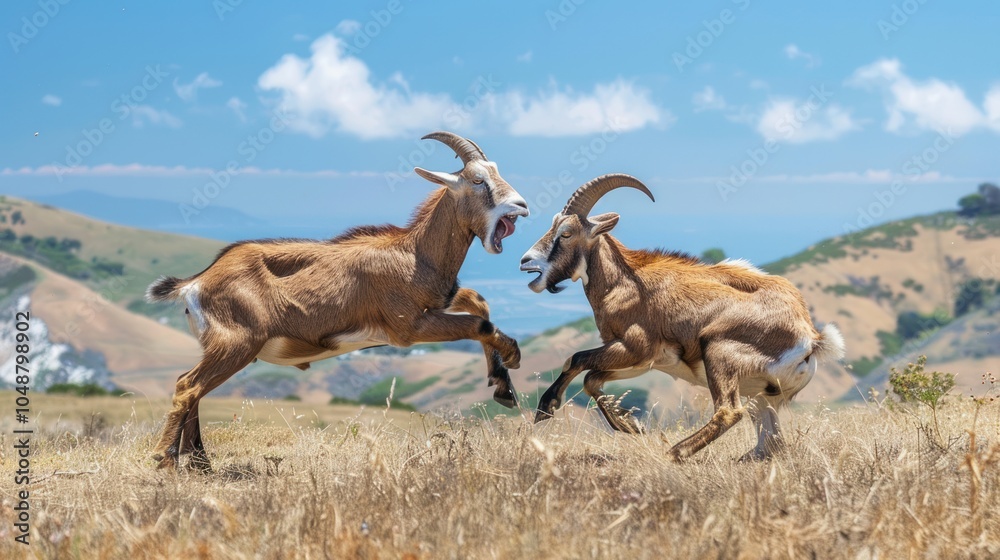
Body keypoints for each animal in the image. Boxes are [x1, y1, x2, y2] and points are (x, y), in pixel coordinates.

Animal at [146, 131, 529, 470]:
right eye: (478, 180)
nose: (521, 206)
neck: (414, 253)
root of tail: (195, 284)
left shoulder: (440, 303)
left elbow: (478, 302)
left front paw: (503, 386)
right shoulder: (408, 328)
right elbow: (479, 323)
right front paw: (512, 361)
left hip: (220, 345)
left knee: (191, 386)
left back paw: (199, 463)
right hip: (237, 343)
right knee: (188, 386)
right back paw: (166, 459)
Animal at [519, 174, 844, 460]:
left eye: (566, 233)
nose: (526, 261)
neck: (626, 283)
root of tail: (811, 338)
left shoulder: (634, 347)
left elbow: (576, 360)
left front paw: (546, 407)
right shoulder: (643, 361)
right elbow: (592, 378)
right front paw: (630, 425)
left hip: (719, 353)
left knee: (729, 412)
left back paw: (676, 452)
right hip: (764, 395)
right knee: (770, 440)